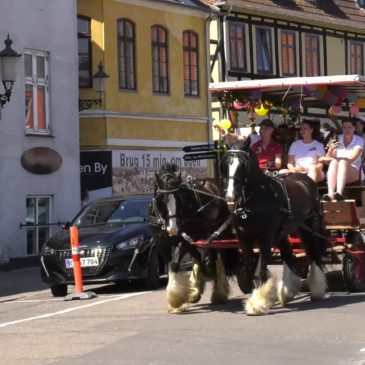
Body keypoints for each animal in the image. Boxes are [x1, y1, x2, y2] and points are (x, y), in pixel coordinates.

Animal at [146, 164, 237, 312]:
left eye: (178, 199)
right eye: (161, 199)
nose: (173, 229)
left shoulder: (184, 240)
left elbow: (174, 265)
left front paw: (175, 300)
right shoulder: (161, 244)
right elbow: (169, 265)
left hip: (220, 232)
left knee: (218, 257)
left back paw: (218, 292)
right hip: (204, 235)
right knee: (203, 256)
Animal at [223, 138, 332, 314]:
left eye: (243, 164)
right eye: (227, 163)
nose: (232, 196)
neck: (255, 199)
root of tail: (307, 179)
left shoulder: (265, 238)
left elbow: (259, 271)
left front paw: (257, 303)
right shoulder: (244, 238)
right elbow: (249, 269)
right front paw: (259, 294)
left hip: (308, 226)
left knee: (312, 253)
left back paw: (316, 288)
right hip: (284, 230)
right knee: (288, 255)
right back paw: (288, 291)